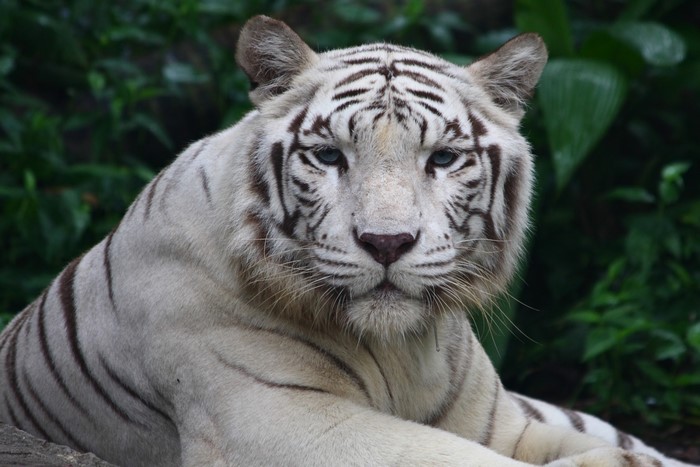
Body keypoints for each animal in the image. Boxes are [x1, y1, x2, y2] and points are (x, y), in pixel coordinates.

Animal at [0, 15, 694, 467]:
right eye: (330, 155)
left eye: (443, 158)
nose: (386, 243)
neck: (404, 350)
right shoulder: (276, 419)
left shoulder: (499, 422)